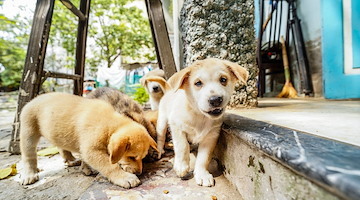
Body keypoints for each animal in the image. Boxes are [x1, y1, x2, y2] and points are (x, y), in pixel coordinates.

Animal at [19, 93, 158, 188]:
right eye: (132, 157)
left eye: (143, 157)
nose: (139, 172)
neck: (110, 123)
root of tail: (34, 99)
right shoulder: (92, 150)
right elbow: (109, 166)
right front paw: (125, 178)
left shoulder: (88, 148)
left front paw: (85, 168)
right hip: (28, 132)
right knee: (29, 156)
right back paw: (29, 175)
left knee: (61, 146)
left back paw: (70, 160)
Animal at [155, 57, 248, 186]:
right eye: (198, 83)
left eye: (223, 79)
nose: (215, 100)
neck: (200, 116)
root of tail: (169, 90)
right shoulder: (176, 127)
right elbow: (182, 146)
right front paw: (181, 167)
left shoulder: (211, 136)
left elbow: (203, 158)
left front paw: (202, 174)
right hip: (162, 122)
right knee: (161, 137)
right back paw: (160, 151)